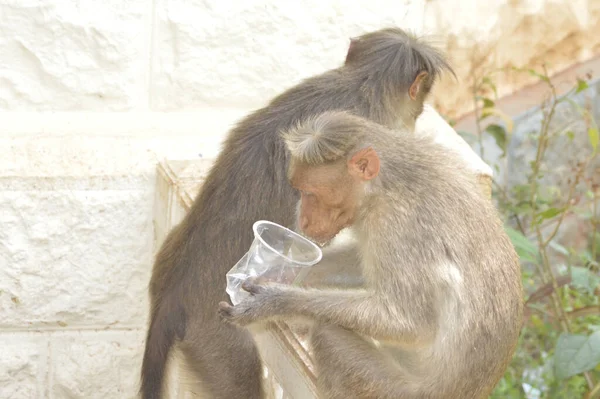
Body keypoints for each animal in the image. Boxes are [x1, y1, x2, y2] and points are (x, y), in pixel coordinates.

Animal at [218, 110, 524, 399]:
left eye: (310, 193)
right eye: (300, 190)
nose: (302, 219)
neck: (384, 186)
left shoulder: (396, 224)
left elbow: (407, 322)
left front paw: (276, 301)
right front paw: (279, 270)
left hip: (387, 390)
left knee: (327, 332)